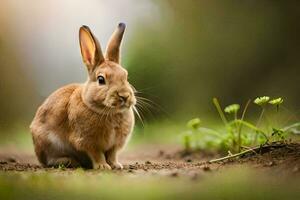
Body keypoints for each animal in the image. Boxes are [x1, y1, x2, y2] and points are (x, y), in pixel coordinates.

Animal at [29, 23, 136, 170]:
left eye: (126, 76)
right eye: (101, 79)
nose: (124, 96)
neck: (108, 111)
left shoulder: (114, 145)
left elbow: (112, 154)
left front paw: (116, 165)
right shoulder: (89, 142)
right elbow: (97, 155)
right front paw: (103, 167)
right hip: (47, 144)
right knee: (49, 161)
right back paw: (70, 162)